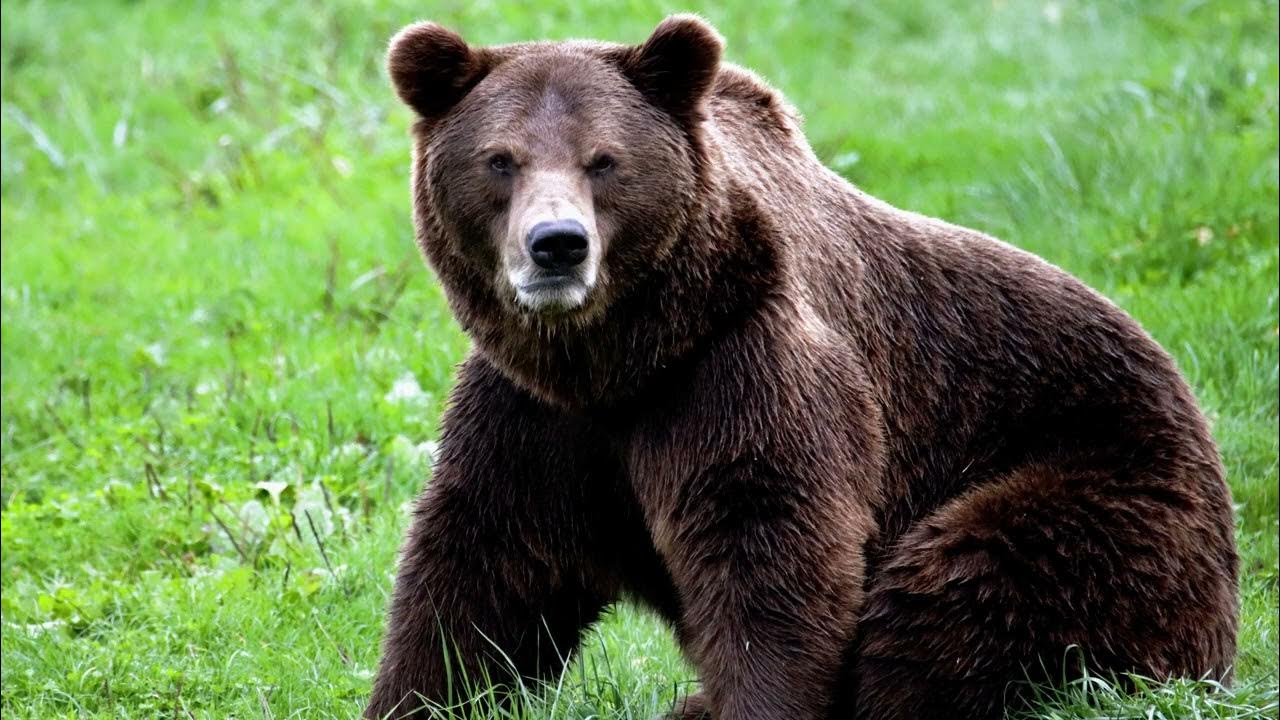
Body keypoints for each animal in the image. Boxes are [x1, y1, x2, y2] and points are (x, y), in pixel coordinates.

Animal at [366, 15, 1239, 720]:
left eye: (603, 160)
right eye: (501, 160)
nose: (557, 245)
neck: (619, 358)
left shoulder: (741, 366)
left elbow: (770, 546)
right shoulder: (537, 416)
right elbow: (482, 571)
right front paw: (417, 694)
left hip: (1104, 482)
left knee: (961, 588)